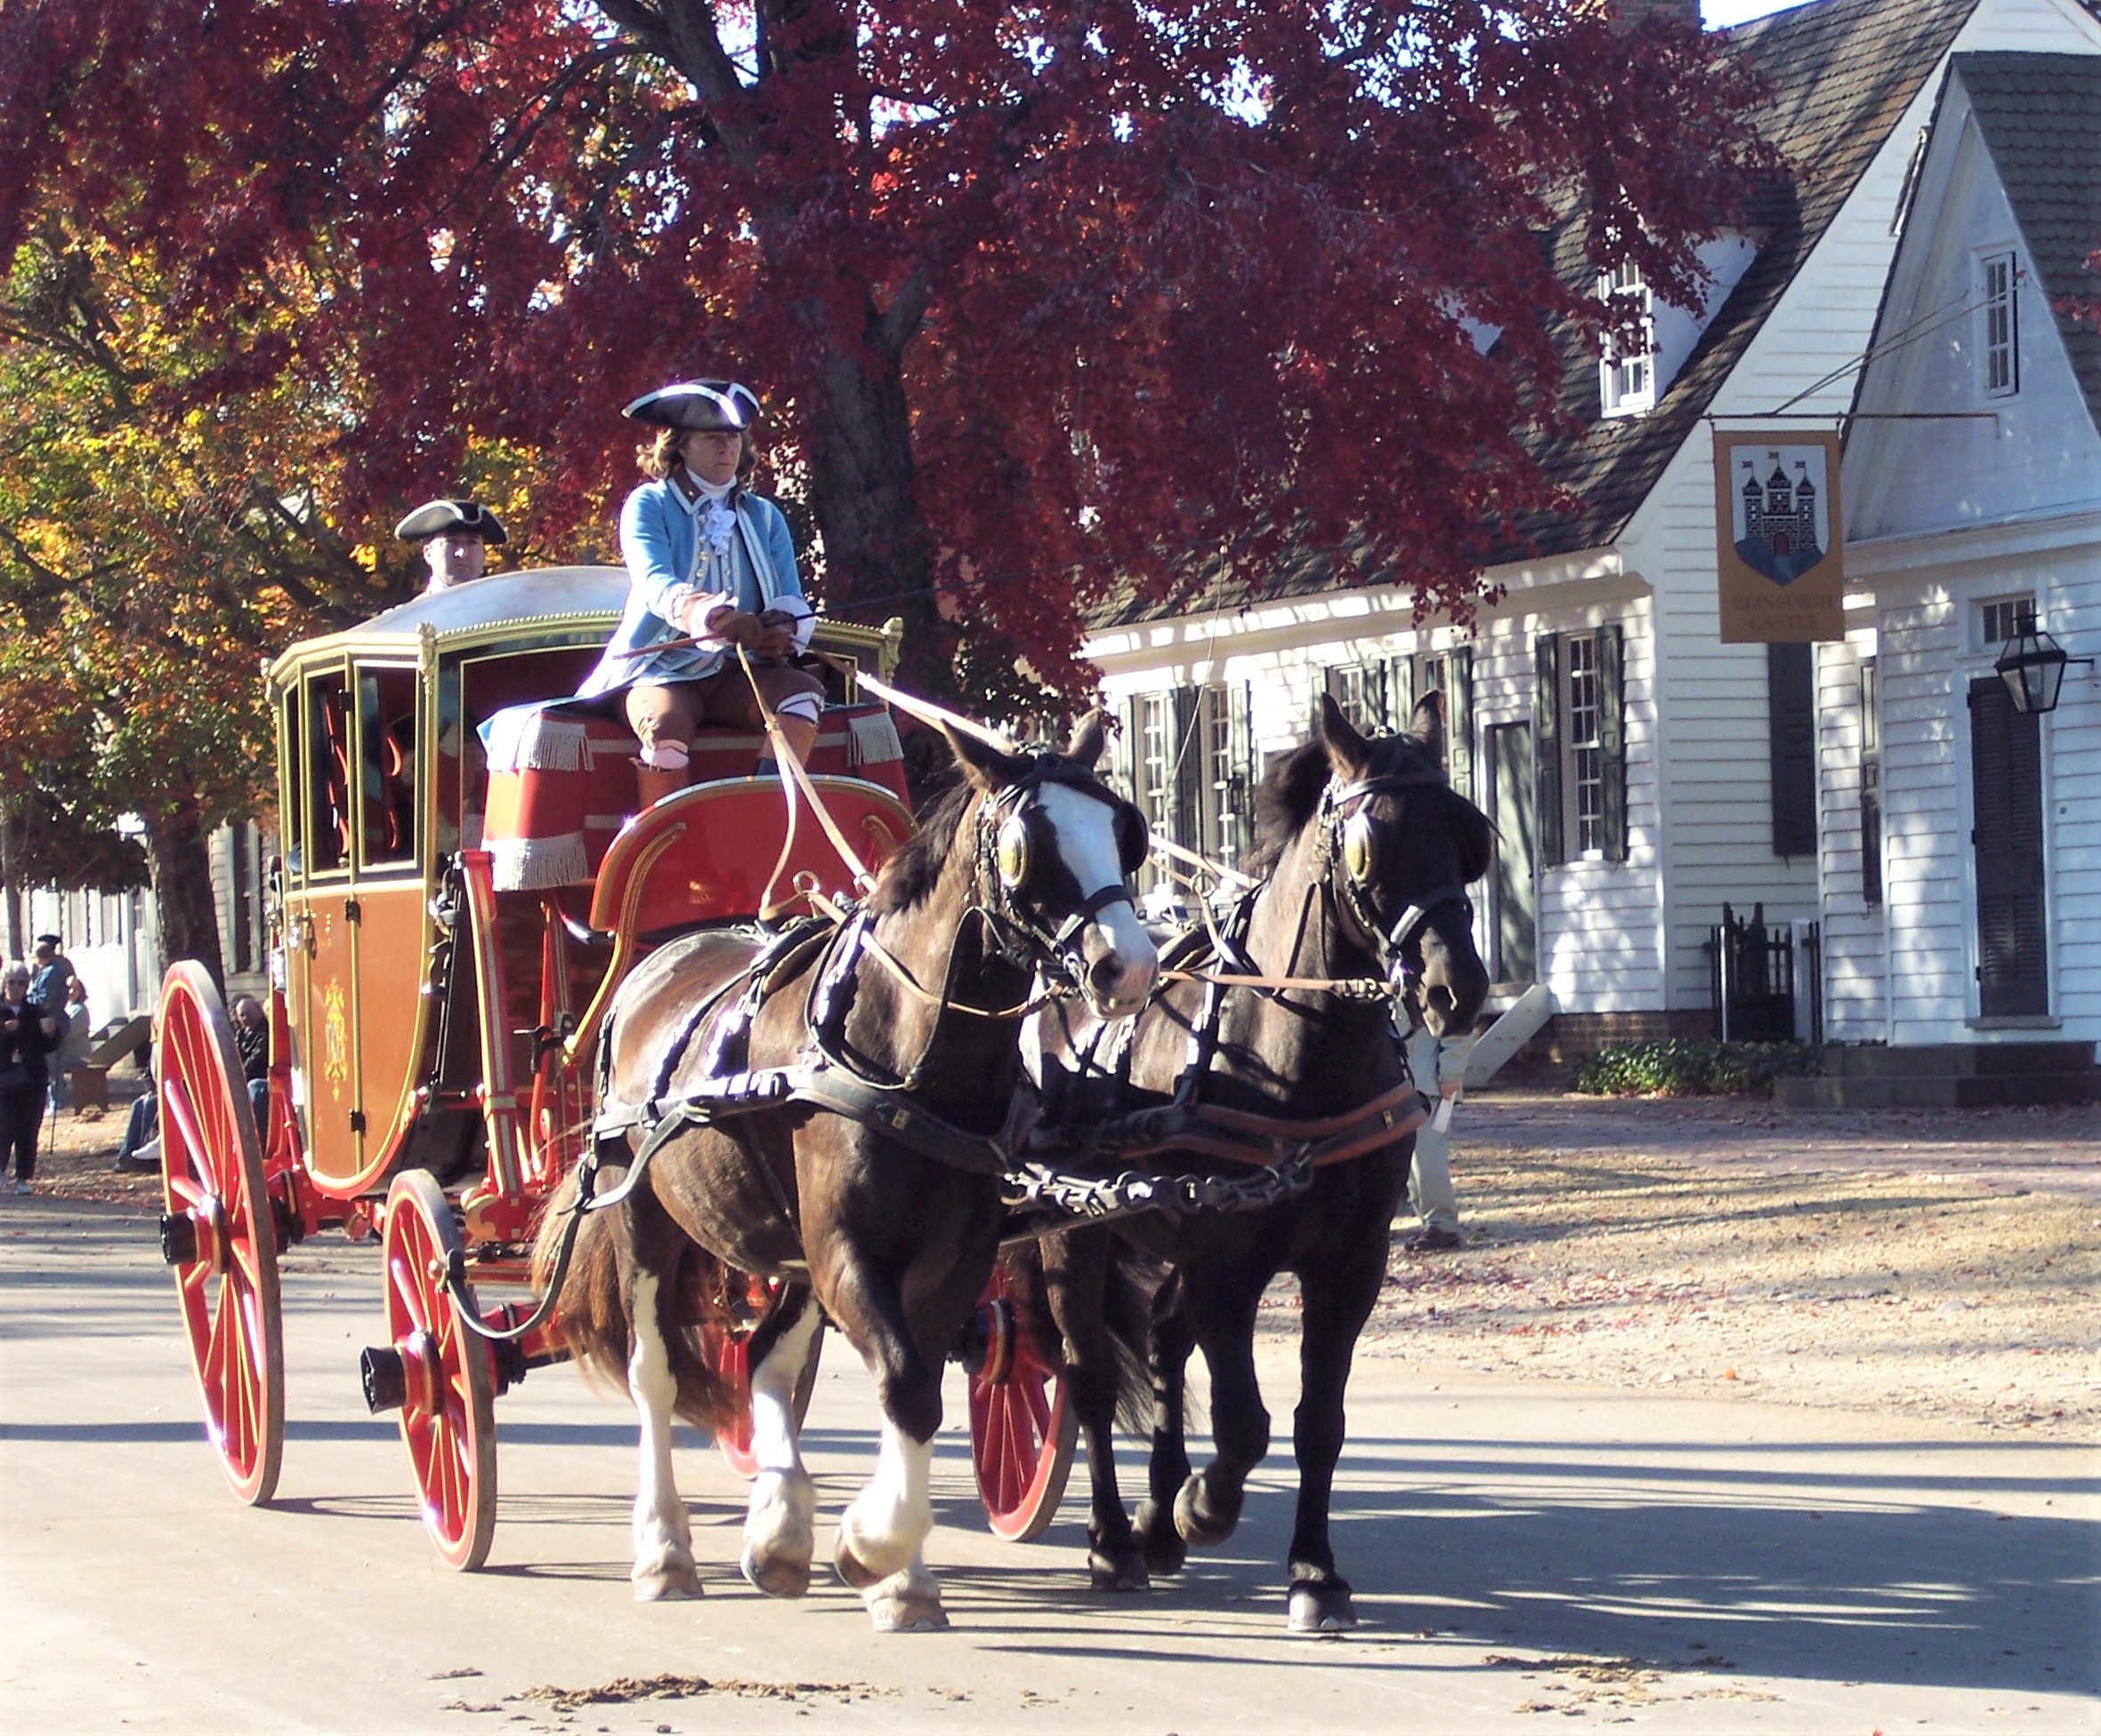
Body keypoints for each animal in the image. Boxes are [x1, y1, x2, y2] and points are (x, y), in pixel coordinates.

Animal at [533, 715, 1160, 1622]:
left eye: (1123, 831)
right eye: (1024, 847)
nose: (1130, 967)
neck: (904, 1059)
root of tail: (645, 971)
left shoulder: (945, 1264)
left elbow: (918, 1389)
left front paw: (899, 1571)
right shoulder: (845, 1251)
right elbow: (904, 1381)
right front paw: (873, 1547)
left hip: (789, 1244)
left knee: (764, 1355)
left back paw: (778, 1529)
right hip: (644, 1214)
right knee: (654, 1371)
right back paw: (664, 1549)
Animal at [1029, 689, 1496, 1622]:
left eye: (1467, 838)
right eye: (1370, 846)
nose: (1455, 988)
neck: (1298, 1062)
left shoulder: (1349, 1265)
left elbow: (1319, 1422)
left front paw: (1312, 1570)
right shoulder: (1228, 1263)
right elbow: (1244, 1422)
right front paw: (1204, 1506)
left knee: (1163, 1338)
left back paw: (1154, 1519)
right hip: (1072, 1233)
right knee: (1089, 1376)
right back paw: (1114, 1539)